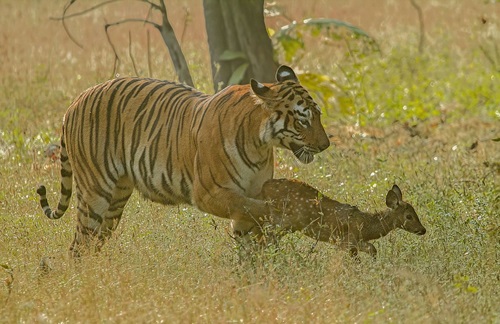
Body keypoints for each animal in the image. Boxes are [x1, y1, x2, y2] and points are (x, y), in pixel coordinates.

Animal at [37, 64, 330, 256]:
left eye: (318, 115)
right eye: (303, 121)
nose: (325, 145)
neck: (260, 143)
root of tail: (75, 101)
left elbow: (250, 238)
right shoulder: (209, 193)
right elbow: (251, 207)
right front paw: (284, 214)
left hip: (116, 199)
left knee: (94, 242)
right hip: (95, 192)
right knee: (79, 245)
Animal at [241, 180, 426, 258]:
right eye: (409, 216)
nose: (423, 230)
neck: (367, 226)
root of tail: (264, 186)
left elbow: (370, 249)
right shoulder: (347, 240)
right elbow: (366, 251)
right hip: (283, 221)